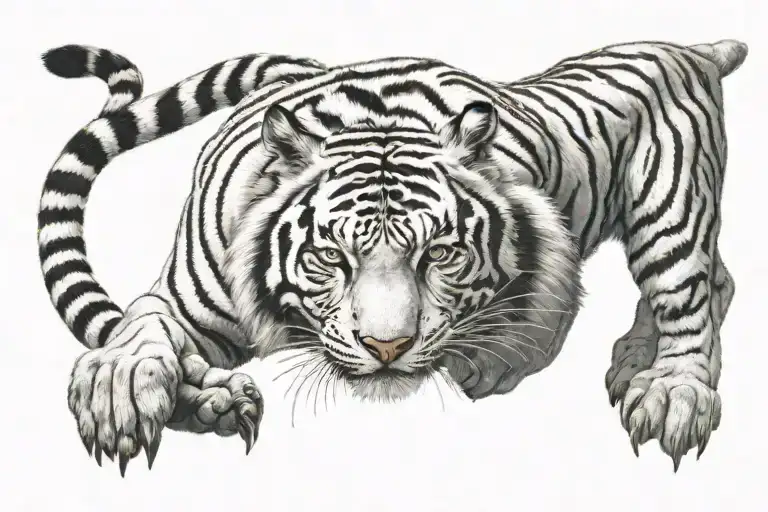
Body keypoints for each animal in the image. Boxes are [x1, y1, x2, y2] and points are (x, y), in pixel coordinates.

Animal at [37, 38, 747, 476]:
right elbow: (139, 331)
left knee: (689, 288)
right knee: (718, 281)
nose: (387, 348)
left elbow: (538, 313)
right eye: (331, 256)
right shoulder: (182, 296)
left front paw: (487, 366)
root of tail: (692, 49)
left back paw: (673, 393)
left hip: (671, 205)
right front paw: (120, 391)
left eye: (440, 253)